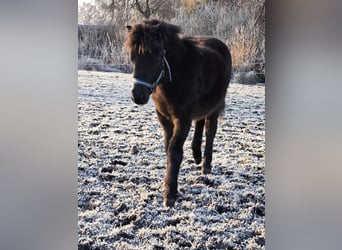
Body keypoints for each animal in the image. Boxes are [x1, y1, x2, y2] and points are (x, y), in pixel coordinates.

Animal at [124, 19, 231, 207]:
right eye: (132, 56)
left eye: (156, 56)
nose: (138, 96)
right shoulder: (164, 118)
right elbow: (168, 148)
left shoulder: (183, 119)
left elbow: (174, 152)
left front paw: (170, 195)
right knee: (200, 123)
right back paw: (196, 155)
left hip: (215, 106)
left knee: (210, 130)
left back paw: (206, 164)